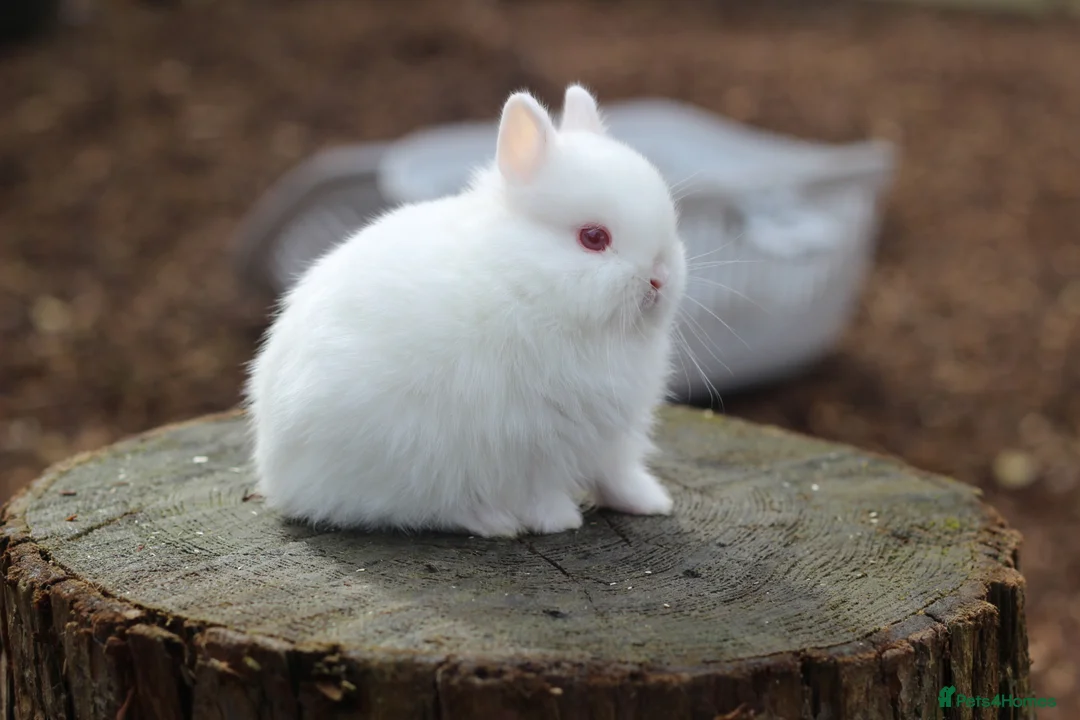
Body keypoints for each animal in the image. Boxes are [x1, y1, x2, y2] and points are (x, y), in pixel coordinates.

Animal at [244, 84, 688, 537]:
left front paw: (652, 504)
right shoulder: (531, 443)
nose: (659, 279)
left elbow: (617, 476)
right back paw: (494, 522)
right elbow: (539, 490)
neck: (526, 284)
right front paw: (559, 521)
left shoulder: (611, 440)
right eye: (594, 237)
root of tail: (277, 479)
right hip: (410, 461)